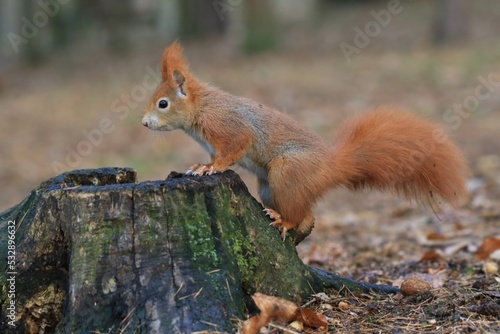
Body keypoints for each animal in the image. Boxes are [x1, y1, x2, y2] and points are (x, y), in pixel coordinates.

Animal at [142, 43, 468, 244]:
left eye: (162, 103)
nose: (144, 123)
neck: (202, 107)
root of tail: (332, 168)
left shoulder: (229, 128)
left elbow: (232, 149)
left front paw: (211, 168)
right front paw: (201, 165)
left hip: (288, 172)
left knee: (299, 214)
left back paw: (283, 221)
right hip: (269, 186)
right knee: (306, 215)